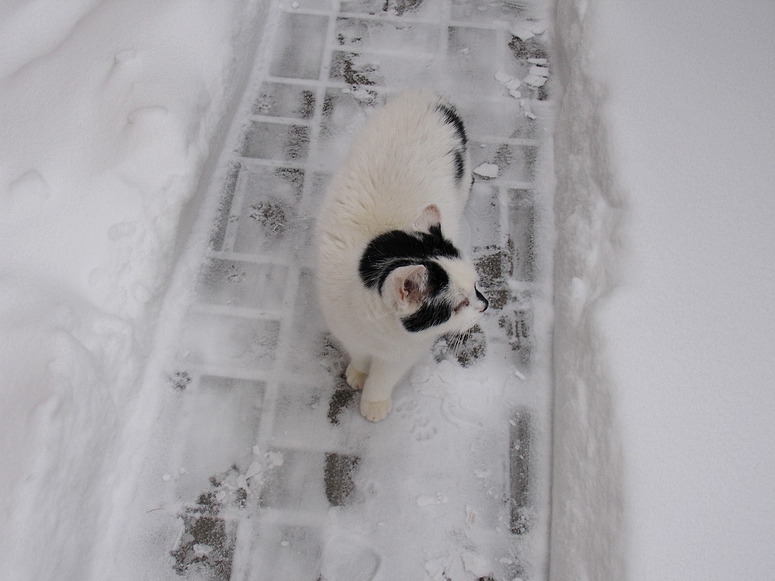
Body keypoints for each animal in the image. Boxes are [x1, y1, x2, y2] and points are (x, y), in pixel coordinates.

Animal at [314, 87, 484, 422]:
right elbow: (359, 355)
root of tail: (427, 94)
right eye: (460, 305)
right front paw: (358, 372)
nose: (485, 305)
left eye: (475, 286)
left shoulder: (405, 352)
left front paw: (374, 401)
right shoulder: (346, 329)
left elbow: (384, 376)